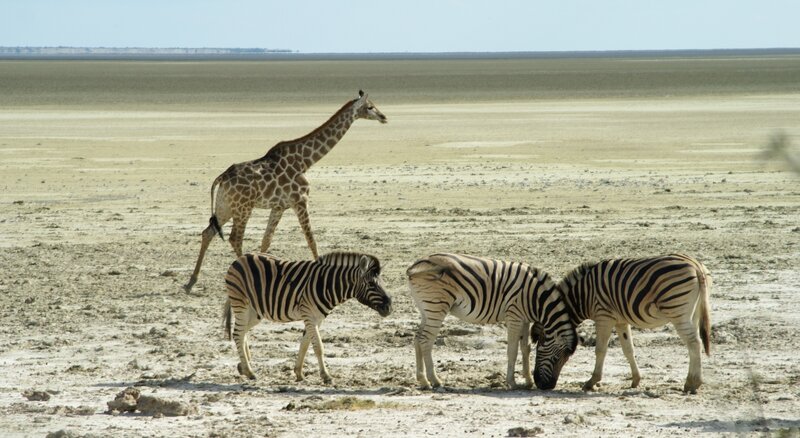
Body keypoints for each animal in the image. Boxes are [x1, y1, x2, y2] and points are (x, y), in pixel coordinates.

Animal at [183, 90, 388, 292]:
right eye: (370, 107)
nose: (384, 117)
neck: (305, 161)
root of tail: (222, 177)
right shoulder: (300, 201)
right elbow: (311, 239)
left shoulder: (279, 207)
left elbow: (266, 241)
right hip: (243, 208)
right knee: (235, 238)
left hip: (225, 206)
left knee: (208, 232)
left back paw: (191, 282)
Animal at [223, 251, 393, 383]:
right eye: (371, 284)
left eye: (383, 282)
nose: (389, 308)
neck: (328, 285)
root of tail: (240, 258)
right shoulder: (309, 315)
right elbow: (318, 347)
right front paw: (326, 376)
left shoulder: (317, 319)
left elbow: (305, 344)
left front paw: (299, 373)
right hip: (241, 303)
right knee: (238, 334)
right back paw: (249, 371)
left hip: (255, 311)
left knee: (243, 332)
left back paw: (243, 366)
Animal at [406, 253, 577, 390]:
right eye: (556, 359)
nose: (548, 387)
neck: (535, 298)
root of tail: (417, 264)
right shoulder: (514, 316)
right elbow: (513, 350)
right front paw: (512, 382)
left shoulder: (524, 320)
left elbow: (525, 348)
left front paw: (528, 381)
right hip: (436, 307)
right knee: (425, 341)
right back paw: (434, 381)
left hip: (426, 310)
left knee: (417, 339)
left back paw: (422, 380)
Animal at [552, 253, 712, 393]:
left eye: (557, 357)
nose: (547, 386)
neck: (584, 295)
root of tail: (696, 265)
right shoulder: (621, 321)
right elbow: (628, 349)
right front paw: (636, 380)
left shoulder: (604, 317)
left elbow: (600, 350)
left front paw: (591, 382)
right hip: (694, 312)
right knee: (694, 343)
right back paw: (691, 382)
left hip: (677, 311)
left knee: (694, 343)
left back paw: (693, 383)